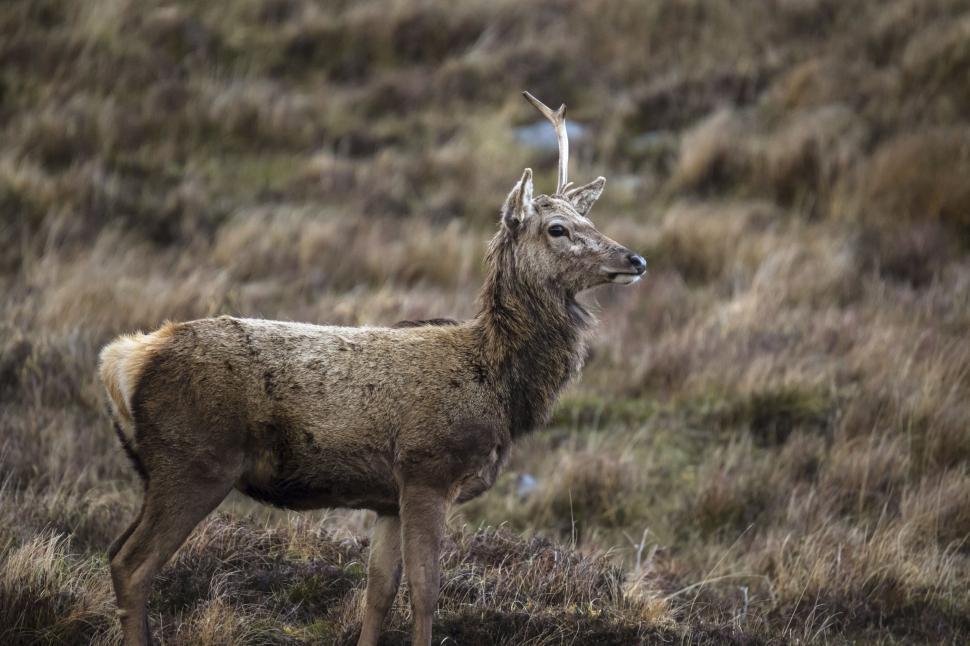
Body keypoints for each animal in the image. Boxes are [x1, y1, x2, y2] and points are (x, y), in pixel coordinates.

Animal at [98, 92, 647, 646]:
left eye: (591, 222)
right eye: (558, 229)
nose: (635, 259)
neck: (500, 385)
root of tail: (124, 361)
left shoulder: (387, 498)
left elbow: (379, 591)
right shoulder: (428, 468)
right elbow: (425, 590)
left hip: (161, 469)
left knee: (116, 553)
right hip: (196, 459)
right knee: (133, 564)